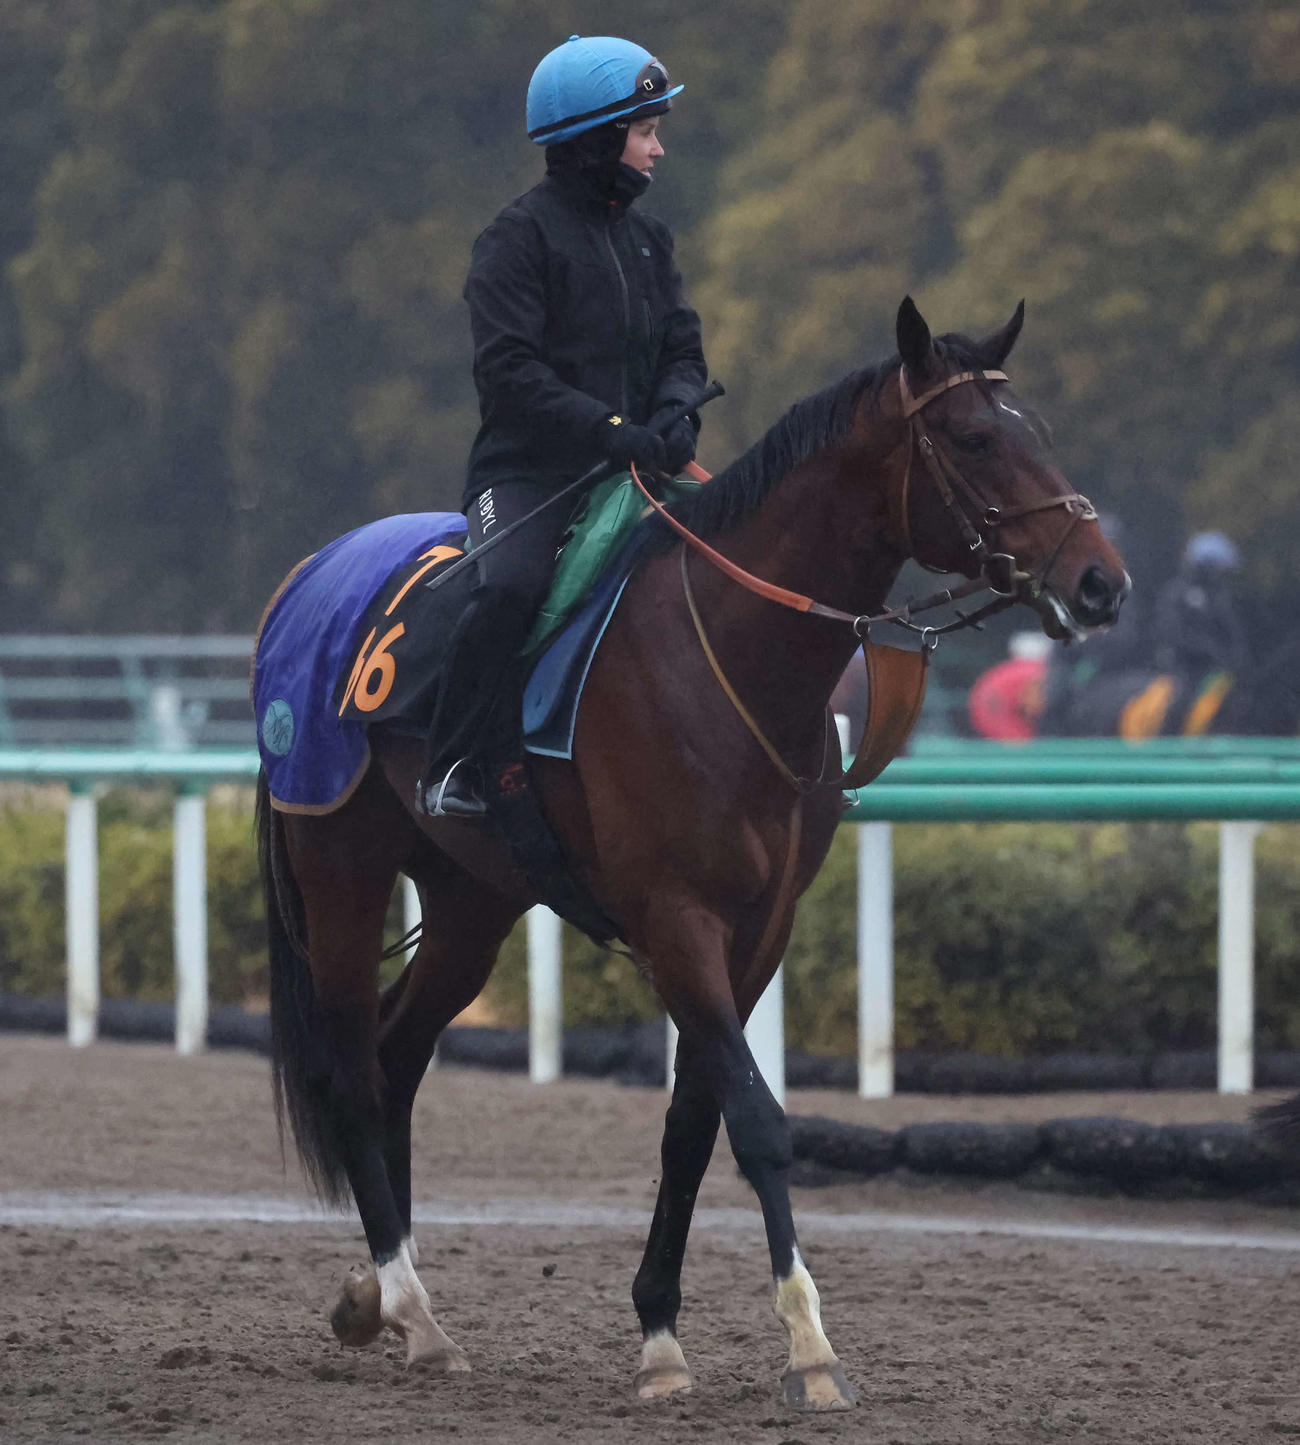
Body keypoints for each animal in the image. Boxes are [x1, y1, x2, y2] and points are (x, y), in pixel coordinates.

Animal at [254, 297, 1128, 1412]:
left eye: (1038, 430)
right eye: (976, 438)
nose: (1100, 581)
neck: (731, 657)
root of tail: (305, 580)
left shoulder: (759, 930)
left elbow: (692, 1125)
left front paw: (662, 1335)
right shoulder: (676, 919)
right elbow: (756, 1120)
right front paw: (809, 1345)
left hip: (469, 901)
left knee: (399, 1054)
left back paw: (384, 1297)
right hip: (342, 867)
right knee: (357, 1073)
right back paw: (415, 1311)